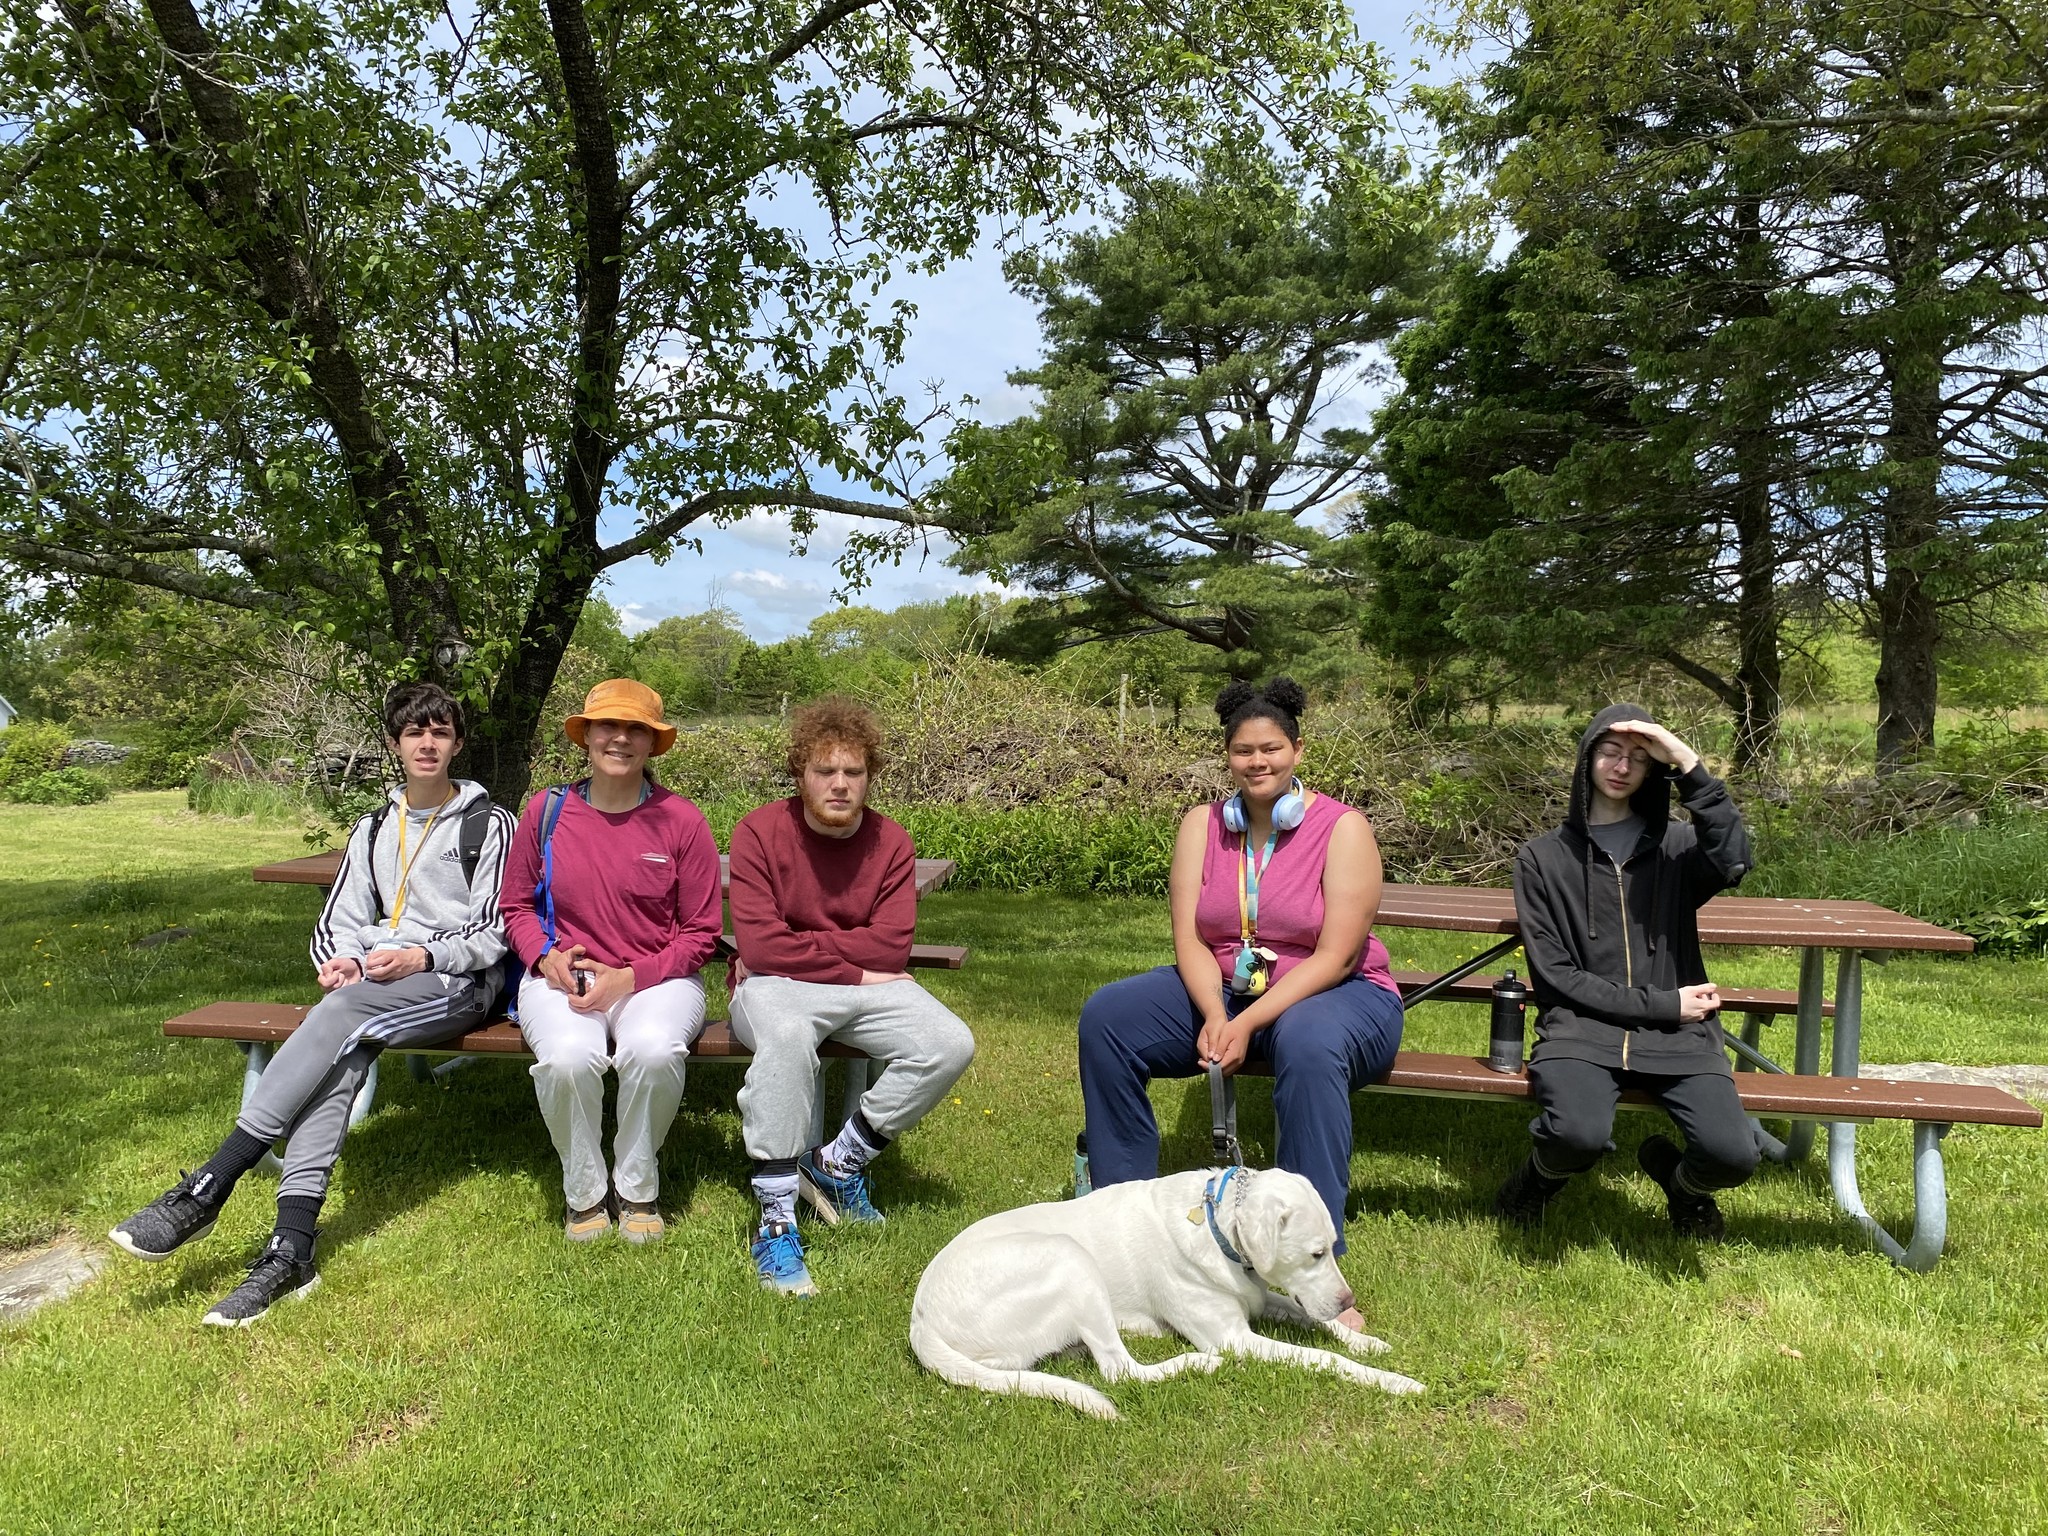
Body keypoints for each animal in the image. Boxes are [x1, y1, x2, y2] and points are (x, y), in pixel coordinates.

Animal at [913, 1171, 1425, 1425]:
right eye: (1316, 1253)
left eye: (1334, 1246)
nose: (1347, 1300)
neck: (1218, 1224)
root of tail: (920, 1324)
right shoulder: (1235, 1338)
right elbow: (1325, 1358)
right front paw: (1395, 1381)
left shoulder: (1261, 1299)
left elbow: (1317, 1322)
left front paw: (1365, 1341)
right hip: (1069, 1256)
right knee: (1120, 1371)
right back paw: (1196, 1364)